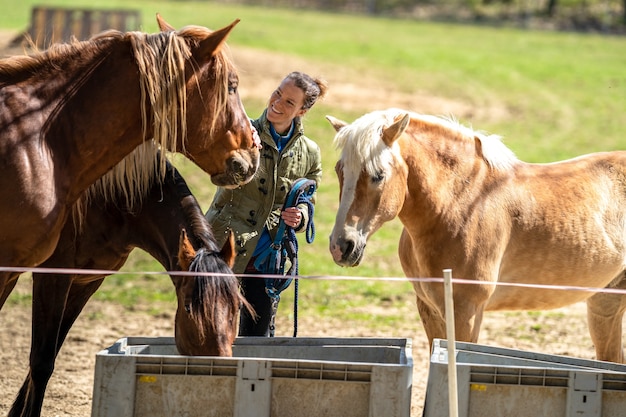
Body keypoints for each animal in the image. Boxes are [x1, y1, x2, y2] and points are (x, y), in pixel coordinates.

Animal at [7, 156, 249, 416]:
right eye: (188, 308)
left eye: (237, 308)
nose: (220, 367)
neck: (111, 201)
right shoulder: (53, 276)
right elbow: (41, 361)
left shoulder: (86, 282)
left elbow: (53, 347)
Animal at [326, 109, 624, 362]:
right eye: (340, 171)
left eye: (378, 175)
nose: (341, 246)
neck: (460, 202)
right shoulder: (430, 309)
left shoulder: (466, 311)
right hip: (605, 303)